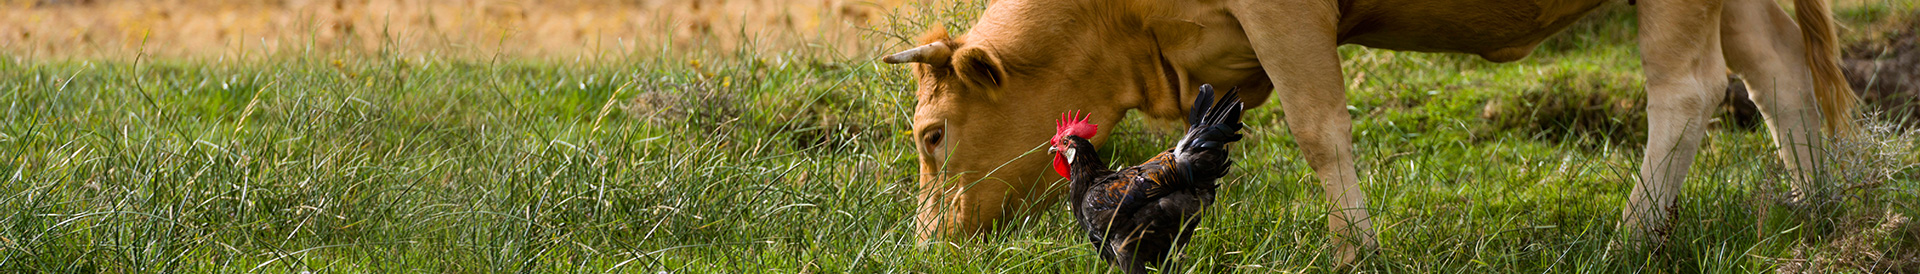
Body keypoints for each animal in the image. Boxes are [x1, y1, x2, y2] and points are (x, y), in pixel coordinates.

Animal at [883, 0, 1858, 262]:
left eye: (930, 135)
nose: (929, 243)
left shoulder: (1288, 18)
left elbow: (1321, 129)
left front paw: (1355, 250)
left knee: (1689, 91)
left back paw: (1629, 238)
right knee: (1778, 70)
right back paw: (1819, 212)